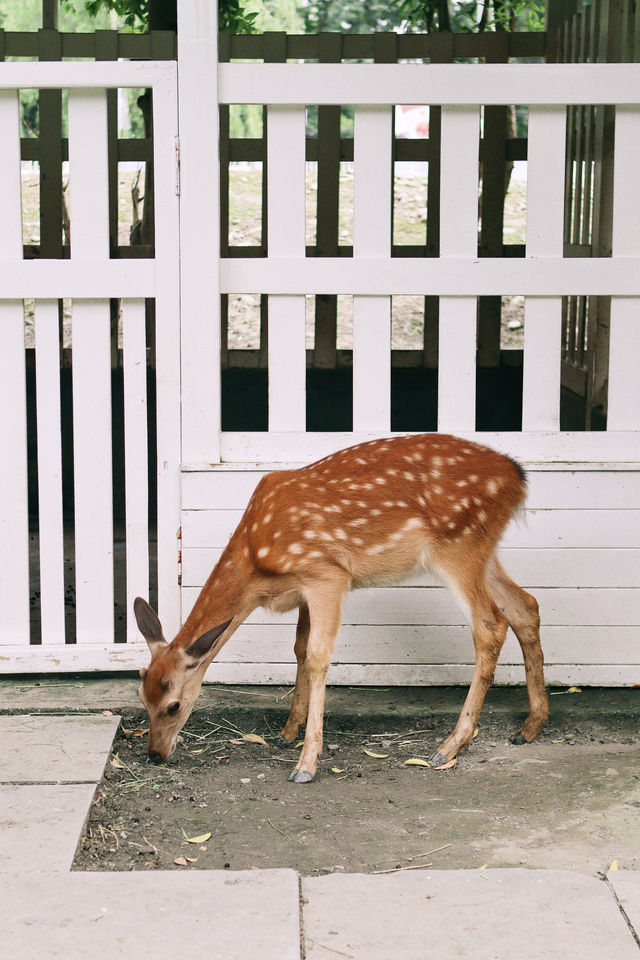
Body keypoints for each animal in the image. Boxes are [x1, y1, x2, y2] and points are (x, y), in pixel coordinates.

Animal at [132, 434, 548, 780]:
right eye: (141, 696)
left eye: (173, 705)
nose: (155, 754)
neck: (257, 564)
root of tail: (518, 477)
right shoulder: (302, 588)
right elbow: (299, 649)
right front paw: (288, 732)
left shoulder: (327, 573)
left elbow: (318, 657)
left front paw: (306, 763)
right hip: (484, 552)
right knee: (525, 605)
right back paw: (529, 726)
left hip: (458, 545)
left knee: (491, 624)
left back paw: (449, 746)